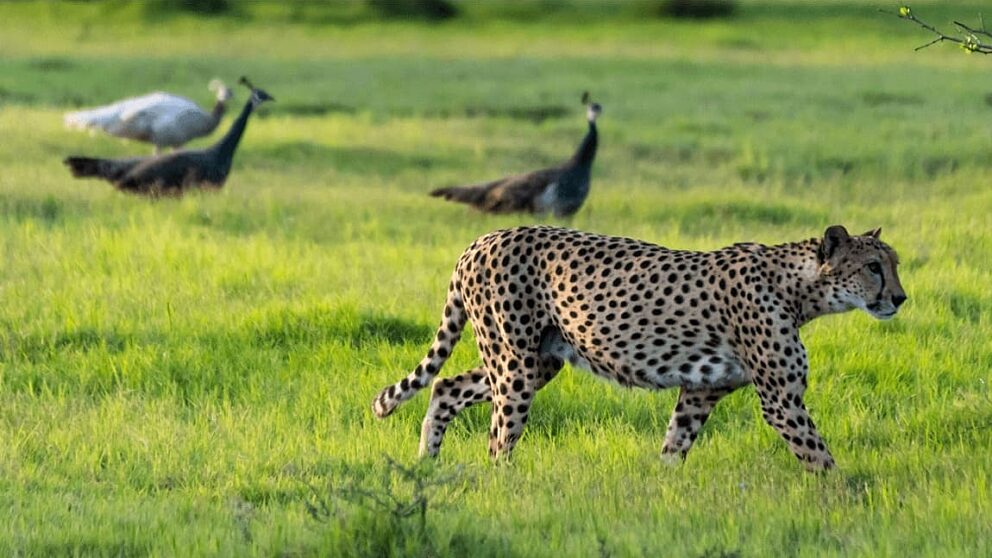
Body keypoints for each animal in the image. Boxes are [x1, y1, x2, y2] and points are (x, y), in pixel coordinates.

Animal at [368, 224, 904, 472]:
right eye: (874, 266)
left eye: (893, 264)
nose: (900, 298)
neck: (800, 287)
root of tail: (480, 239)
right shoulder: (781, 400)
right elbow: (821, 459)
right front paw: (847, 500)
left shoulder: (700, 392)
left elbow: (674, 445)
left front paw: (665, 488)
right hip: (515, 363)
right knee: (498, 438)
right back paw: (499, 482)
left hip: (538, 361)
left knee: (445, 386)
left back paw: (427, 463)